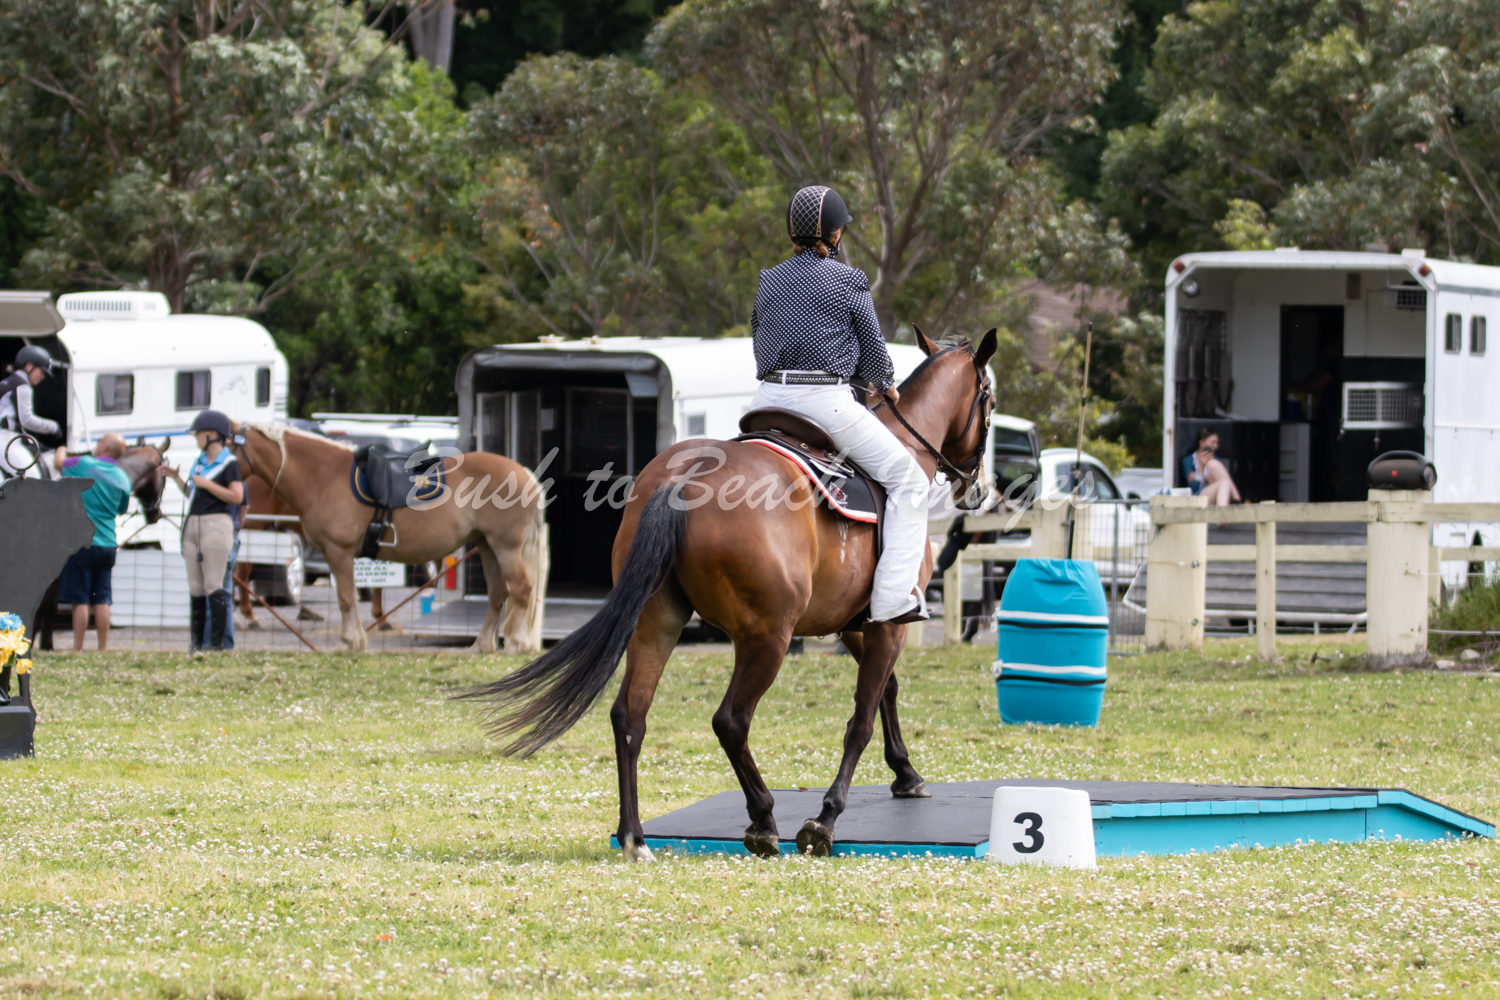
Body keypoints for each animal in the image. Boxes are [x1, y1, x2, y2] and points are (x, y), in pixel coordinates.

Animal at [230, 423, 547, 654]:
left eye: (224, 444)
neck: (322, 475)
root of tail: (526, 474)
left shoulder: (339, 551)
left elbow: (346, 598)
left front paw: (349, 642)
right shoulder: (340, 556)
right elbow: (351, 597)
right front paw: (356, 639)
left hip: (505, 548)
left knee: (521, 590)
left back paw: (517, 644)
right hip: (486, 546)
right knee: (498, 594)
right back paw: (481, 645)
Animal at [464, 330, 996, 860]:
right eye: (989, 399)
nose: (976, 490)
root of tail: (682, 480)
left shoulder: (854, 625)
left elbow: (885, 690)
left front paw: (905, 774)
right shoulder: (886, 626)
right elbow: (862, 718)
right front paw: (825, 819)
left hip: (656, 625)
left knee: (629, 716)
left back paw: (635, 836)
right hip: (766, 639)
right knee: (731, 720)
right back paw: (762, 819)